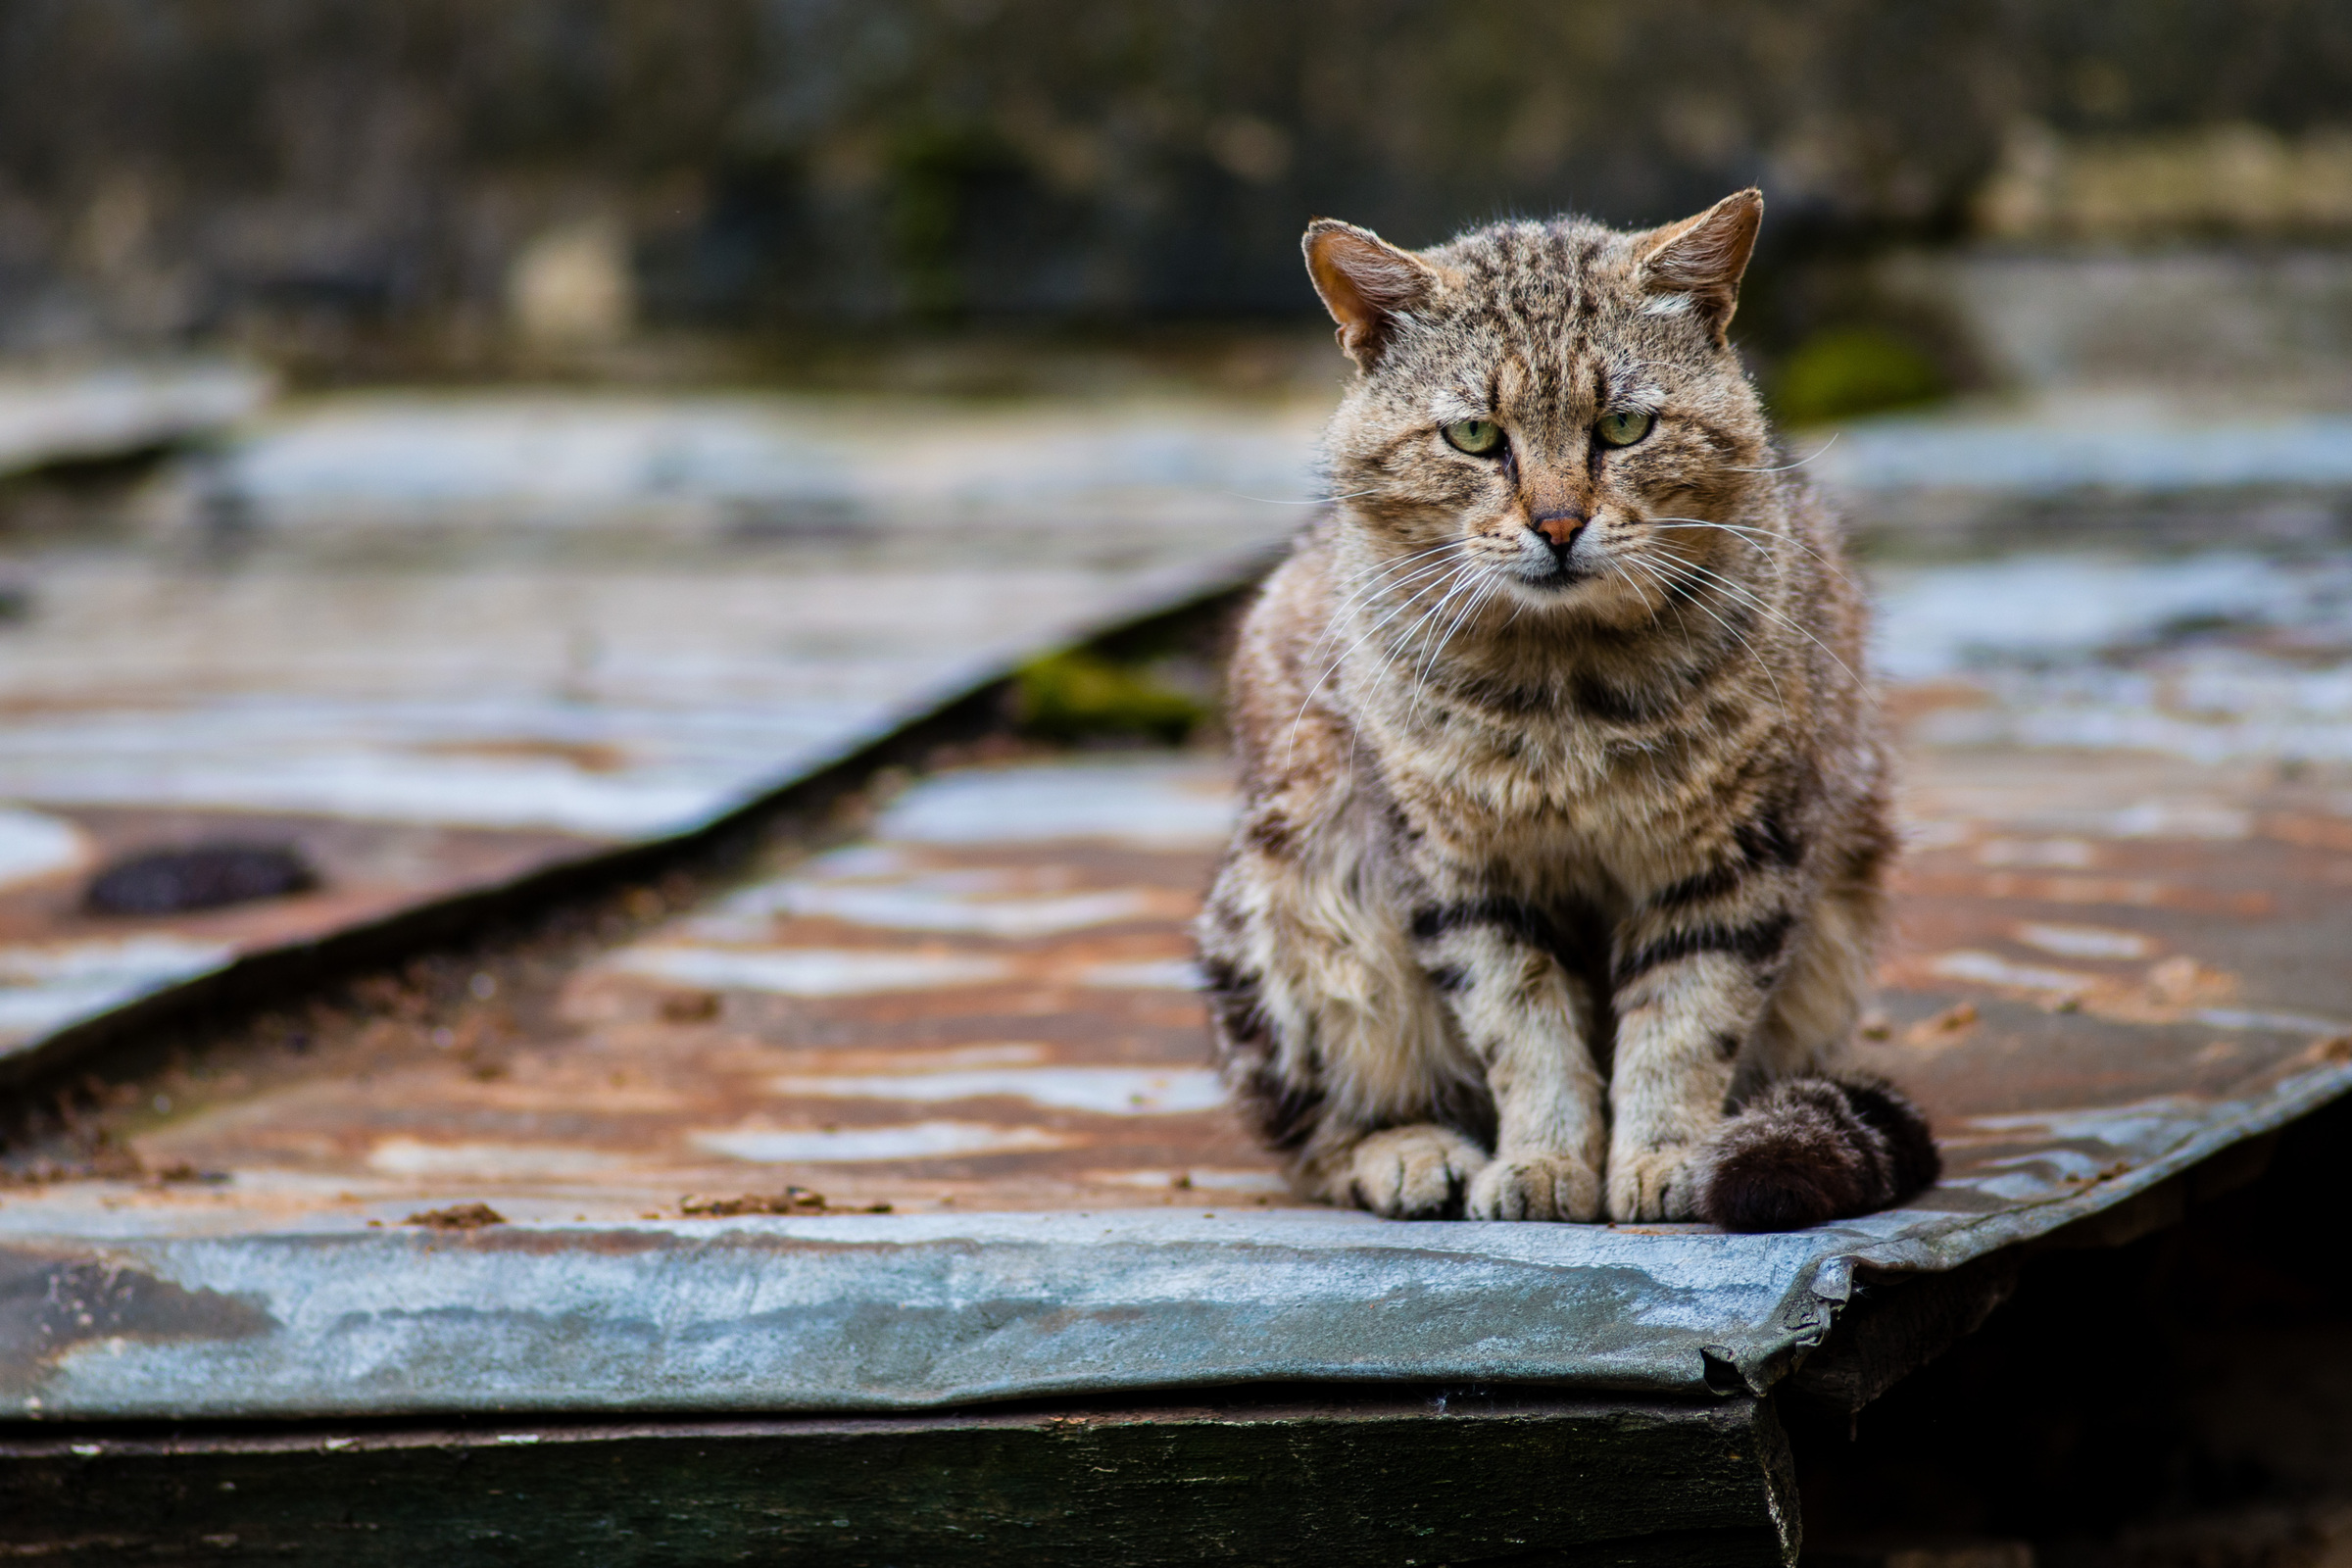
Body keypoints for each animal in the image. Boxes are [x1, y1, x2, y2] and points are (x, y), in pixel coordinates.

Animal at [1203, 190, 1937, 1231]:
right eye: (1475, 437)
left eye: (1623, 426)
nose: (1557, 524)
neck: (1567, 686)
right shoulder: (1468, 872)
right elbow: (1524, 1031)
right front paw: (1545, 1163)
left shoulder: (1731, 856)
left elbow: (1684, 1023)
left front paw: (1665, 1159)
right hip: (1292, 900)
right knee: (1314, 1125)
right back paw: (1410, 1150)